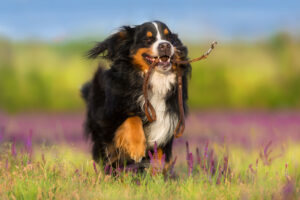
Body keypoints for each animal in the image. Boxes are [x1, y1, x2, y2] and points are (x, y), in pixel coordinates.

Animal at [81, 21, 191, 169]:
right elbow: (133, 118)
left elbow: (159, 156)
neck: (154, 80)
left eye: (169, 38)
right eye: (148, 39)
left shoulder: (167, 121)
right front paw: (136, 149)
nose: (165, 45)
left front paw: (157, 173)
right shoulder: (111, 114)